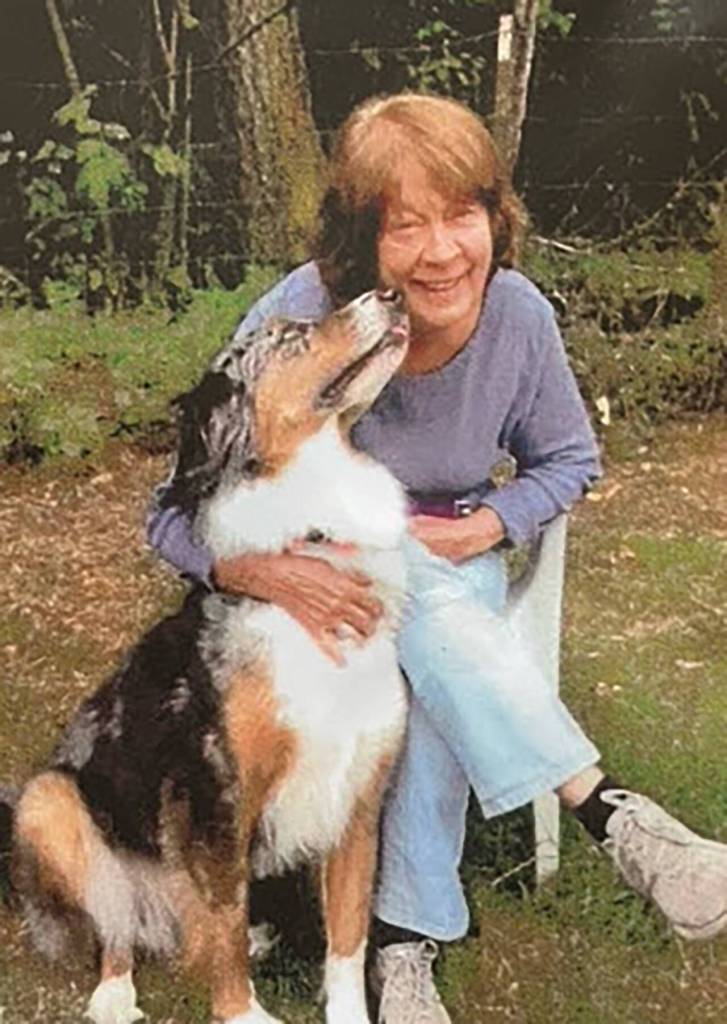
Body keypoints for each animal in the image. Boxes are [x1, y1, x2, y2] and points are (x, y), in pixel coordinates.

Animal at [1, 289, 410, 1024]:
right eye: (290, 336)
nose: (389, 294)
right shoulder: (216, 795)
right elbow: (222, 921)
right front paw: (242, 1013)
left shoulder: (359, 802)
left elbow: (347, 938)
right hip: (50, 801)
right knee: (116, 919)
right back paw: (113, 993)